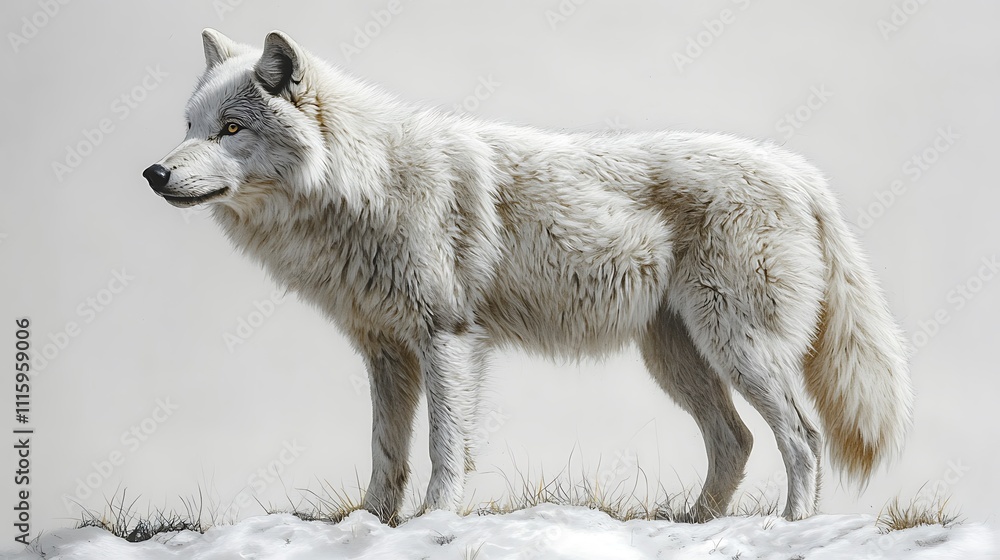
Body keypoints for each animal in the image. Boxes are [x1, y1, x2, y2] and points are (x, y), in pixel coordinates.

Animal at [143, 29, 912, 523]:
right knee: (737, 441)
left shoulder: (448, 339)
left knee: (803, 438)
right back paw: (694, 525)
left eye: (231, 130)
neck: (367, 186)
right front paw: (371, 526)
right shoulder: (387, 353)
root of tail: (802, 173)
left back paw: (790, 530)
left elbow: (445, 448)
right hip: (678, 360)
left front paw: (433, 524)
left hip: (739, 350)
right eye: (190, 126)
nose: (154, 173)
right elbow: (386, 455)